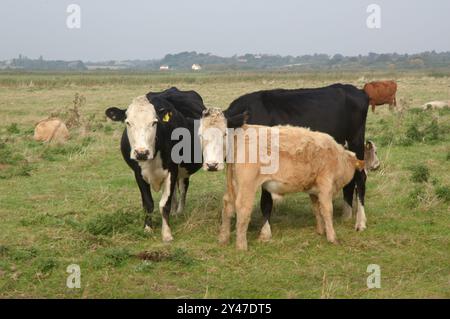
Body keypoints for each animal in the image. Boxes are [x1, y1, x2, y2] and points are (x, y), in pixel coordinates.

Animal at [105, 87, 204, 242]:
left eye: (154, 122)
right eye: (128, 122)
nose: (141, 153)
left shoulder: (172, 170)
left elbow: (164, 204)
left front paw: (167, 233)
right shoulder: (138, 174)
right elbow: (148, 203)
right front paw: (148, 229)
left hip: (184, 169)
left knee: (183, 188)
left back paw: (179, 211)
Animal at [199, 109, 364, 251]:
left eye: (224, 134)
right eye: (200, 135)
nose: (212, 165)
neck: (339, 157)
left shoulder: (313, 190)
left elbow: (317, 209)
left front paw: (320, 231)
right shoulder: (325, 185)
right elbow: (327, 210)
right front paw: (332, 237)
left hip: (233, 184)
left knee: (228, 204)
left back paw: (223, 239)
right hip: (246, 186)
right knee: (243, 208)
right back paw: (241, 246)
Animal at [204, 85, 370, 232]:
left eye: (225, 134)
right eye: (200, 135)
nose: (212, 165)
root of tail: (355, 90)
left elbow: (265, 201)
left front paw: (265, 231)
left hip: (356, 142)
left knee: (361, 177)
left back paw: (360, 222)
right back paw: (347, 214)